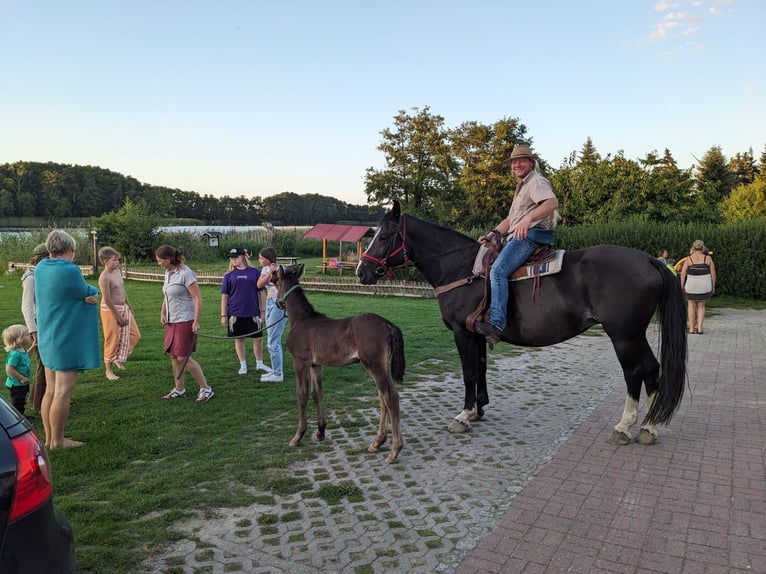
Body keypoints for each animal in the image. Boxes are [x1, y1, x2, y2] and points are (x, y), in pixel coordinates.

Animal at [276, 264, 408, 464]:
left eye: (275, 281)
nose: (277, 303)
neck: (302, 320)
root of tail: (387, 324)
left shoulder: (300, 362)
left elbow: (302, 395)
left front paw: (297, 436)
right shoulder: (316, 365)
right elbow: (317, 394)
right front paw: (321, 432)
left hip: (373, 364)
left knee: (390, 396)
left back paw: (394, 451)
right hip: (381, 364)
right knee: (382, 397)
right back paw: (377, 443)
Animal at [358, 200, 688, 448]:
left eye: (384, 236)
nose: (362, 271)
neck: (462, 269)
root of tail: (648, 260)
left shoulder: (462, 333)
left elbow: (468, 373)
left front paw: (464, 415)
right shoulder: (478, 335)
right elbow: (481, 369)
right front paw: (479, 409)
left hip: (624, 336)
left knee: (636, 372)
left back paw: (624, 426)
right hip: (634, 334)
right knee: (652, 370)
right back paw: (649, 427)